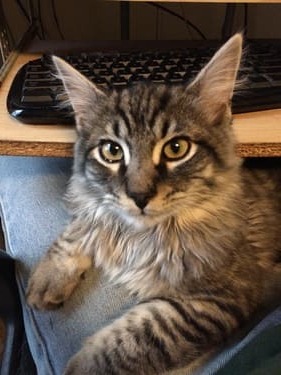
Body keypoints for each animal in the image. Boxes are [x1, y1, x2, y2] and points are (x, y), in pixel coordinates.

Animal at [25, 33, 280, 374]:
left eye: (176, 148)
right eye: (112, 151)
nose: (139, 196)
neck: (139, 234)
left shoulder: (215, 299)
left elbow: (135, 338)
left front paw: (80, 367)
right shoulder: (94, 203)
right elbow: (79, 227)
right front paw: (47, 278)